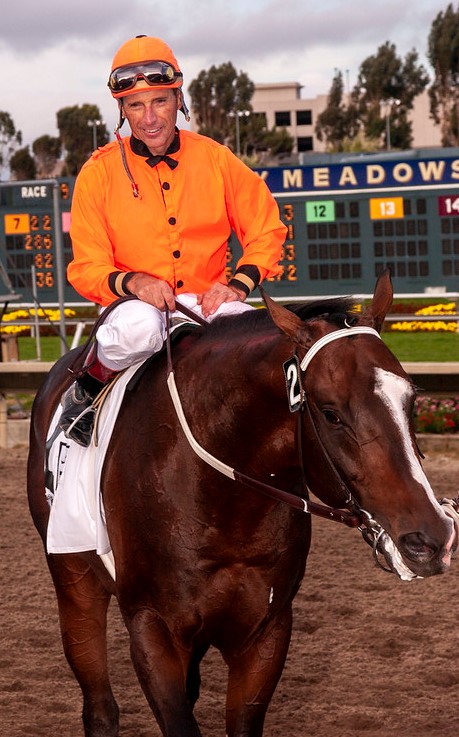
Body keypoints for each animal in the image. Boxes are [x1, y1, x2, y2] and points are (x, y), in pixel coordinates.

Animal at [27, 270, 458, 736]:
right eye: (331, 414)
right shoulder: (152, 627)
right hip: (74, 578)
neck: (220, 505)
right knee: (99, 704)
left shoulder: (266, 632)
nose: (432, 538)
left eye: (411, 400)